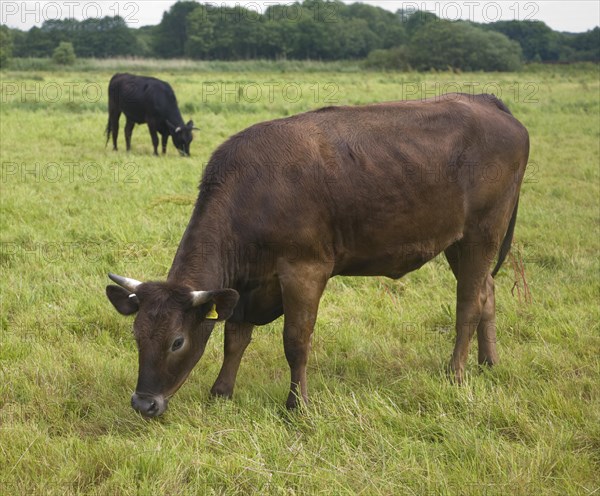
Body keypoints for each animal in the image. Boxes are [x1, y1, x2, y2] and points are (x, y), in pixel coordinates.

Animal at [105, 94, 528, 418]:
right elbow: (234, 337)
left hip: (482, 233)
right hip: (460, 241)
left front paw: (297, 405)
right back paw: (488, 363)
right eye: (136, 334)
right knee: (487, 292)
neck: (254, 192)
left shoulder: (304, 270)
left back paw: (456, 373)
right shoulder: (246, 286)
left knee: (469, 304)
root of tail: (485, 100)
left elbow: (295, 341)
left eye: (177, 341)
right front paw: (221, 392)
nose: (143, 403)